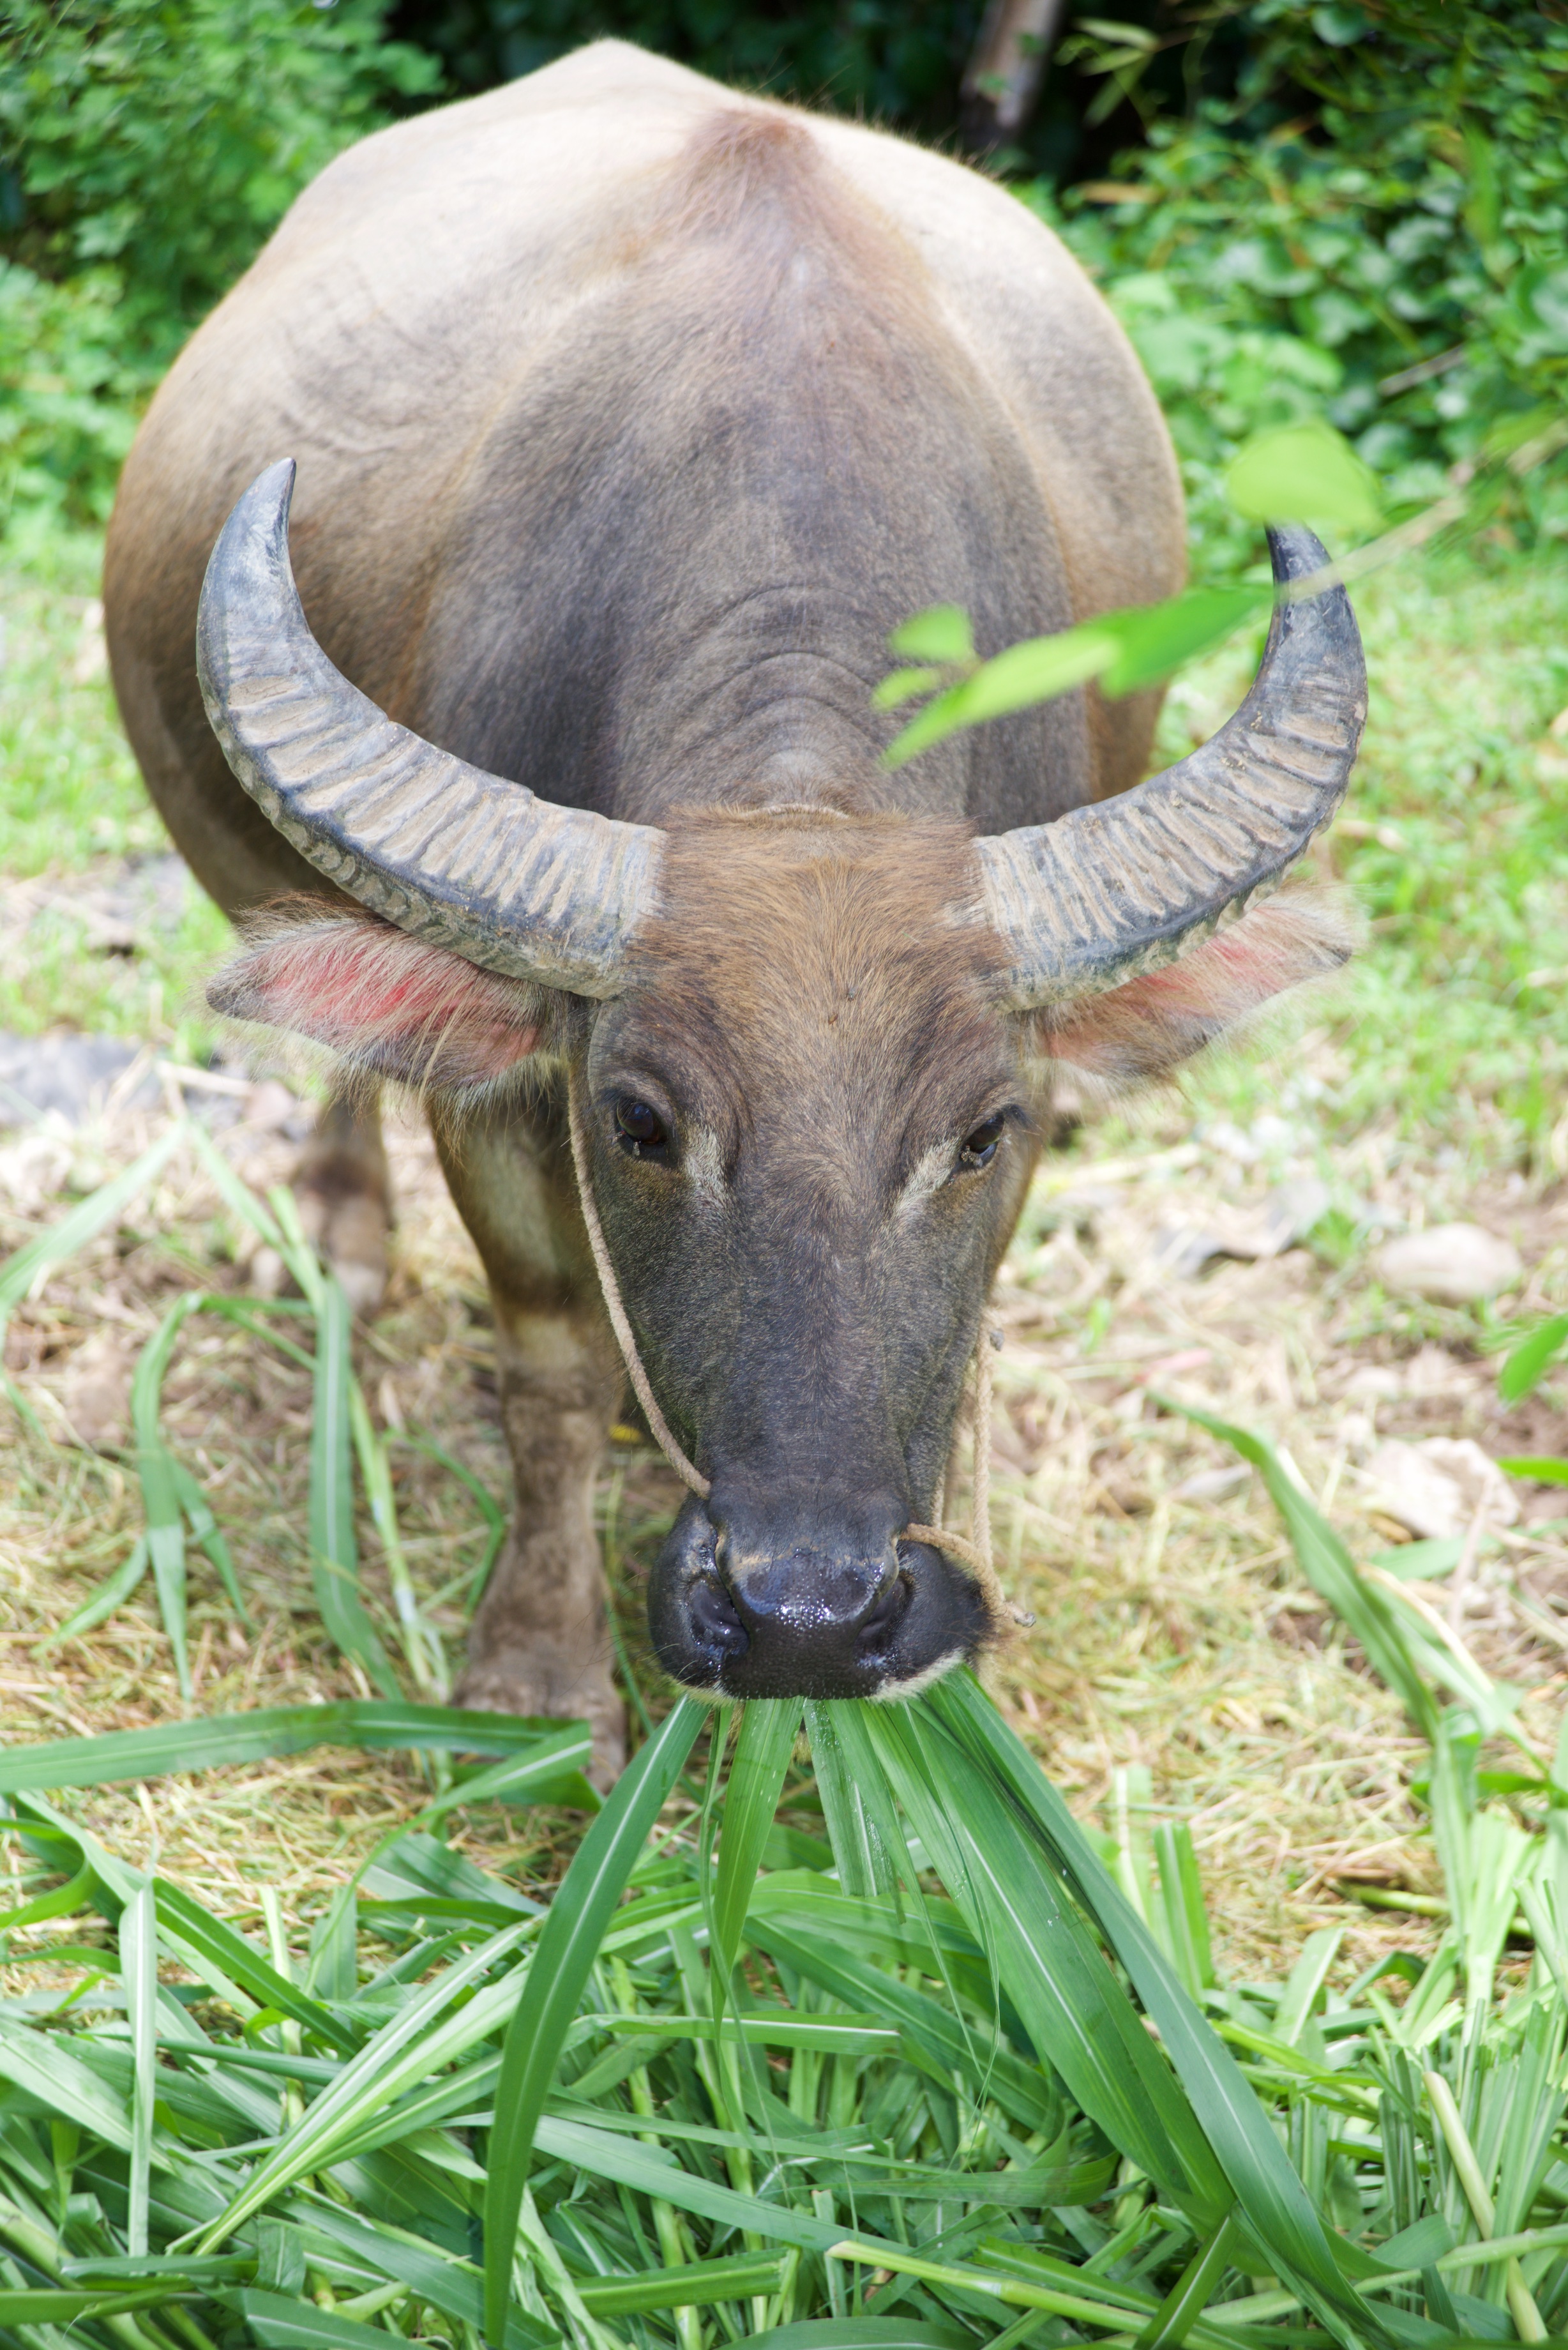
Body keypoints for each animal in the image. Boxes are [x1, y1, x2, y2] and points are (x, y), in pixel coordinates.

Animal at [107, 41, 1363, 1767]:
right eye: (640, 1124)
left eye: (981, 1134)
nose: (806, 1616)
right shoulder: (510, 1100)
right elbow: (552, 1363)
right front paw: (536, 1667)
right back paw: (342, 1224)